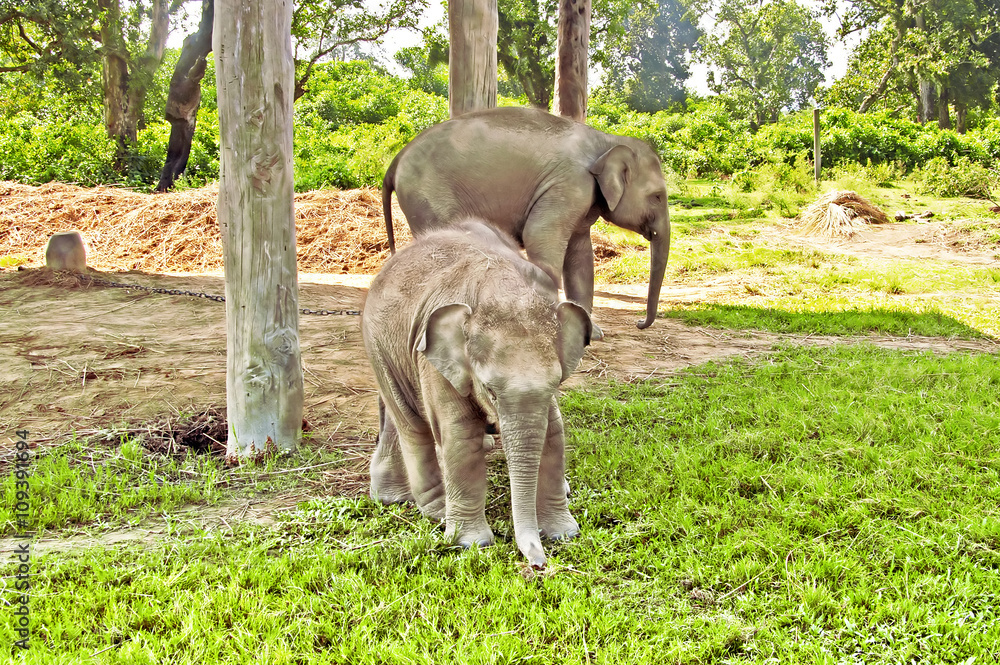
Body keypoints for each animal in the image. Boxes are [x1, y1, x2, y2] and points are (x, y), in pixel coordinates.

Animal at [362, 220, 592, 569]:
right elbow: (460, 437)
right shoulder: (435, 361)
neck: (501, 288)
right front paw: (471, 543)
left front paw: (563, 534)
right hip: (378, 345)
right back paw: (435, 510)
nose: (538, 564)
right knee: (412, 425)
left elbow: (553, 433)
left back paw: (394, 497)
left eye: (557, 383)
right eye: (490, 391)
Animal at [382, 106, 671, 334]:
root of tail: (396, 160)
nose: (638, 323)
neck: (606, 141)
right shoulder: (569, 185)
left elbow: (580, 258)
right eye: (657, 197)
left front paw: (592, 333)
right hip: (427, 195)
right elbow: (539, 237)